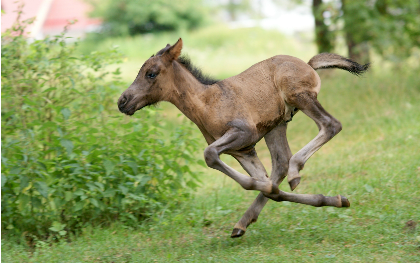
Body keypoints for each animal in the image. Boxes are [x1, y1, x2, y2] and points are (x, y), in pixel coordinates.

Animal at [117, 38, 368, 238]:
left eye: (151, 73)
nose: (122, 101)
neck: (206, 103)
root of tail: (308, 64)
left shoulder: (243, 133)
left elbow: (213, 157)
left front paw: (269, 187)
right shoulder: (243, 150)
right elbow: (263, 183)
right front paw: (333, 199)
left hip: (299, 96)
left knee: (329, 125)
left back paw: (296, 172)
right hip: (276, 126)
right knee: (281, 162)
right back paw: (245, 221)